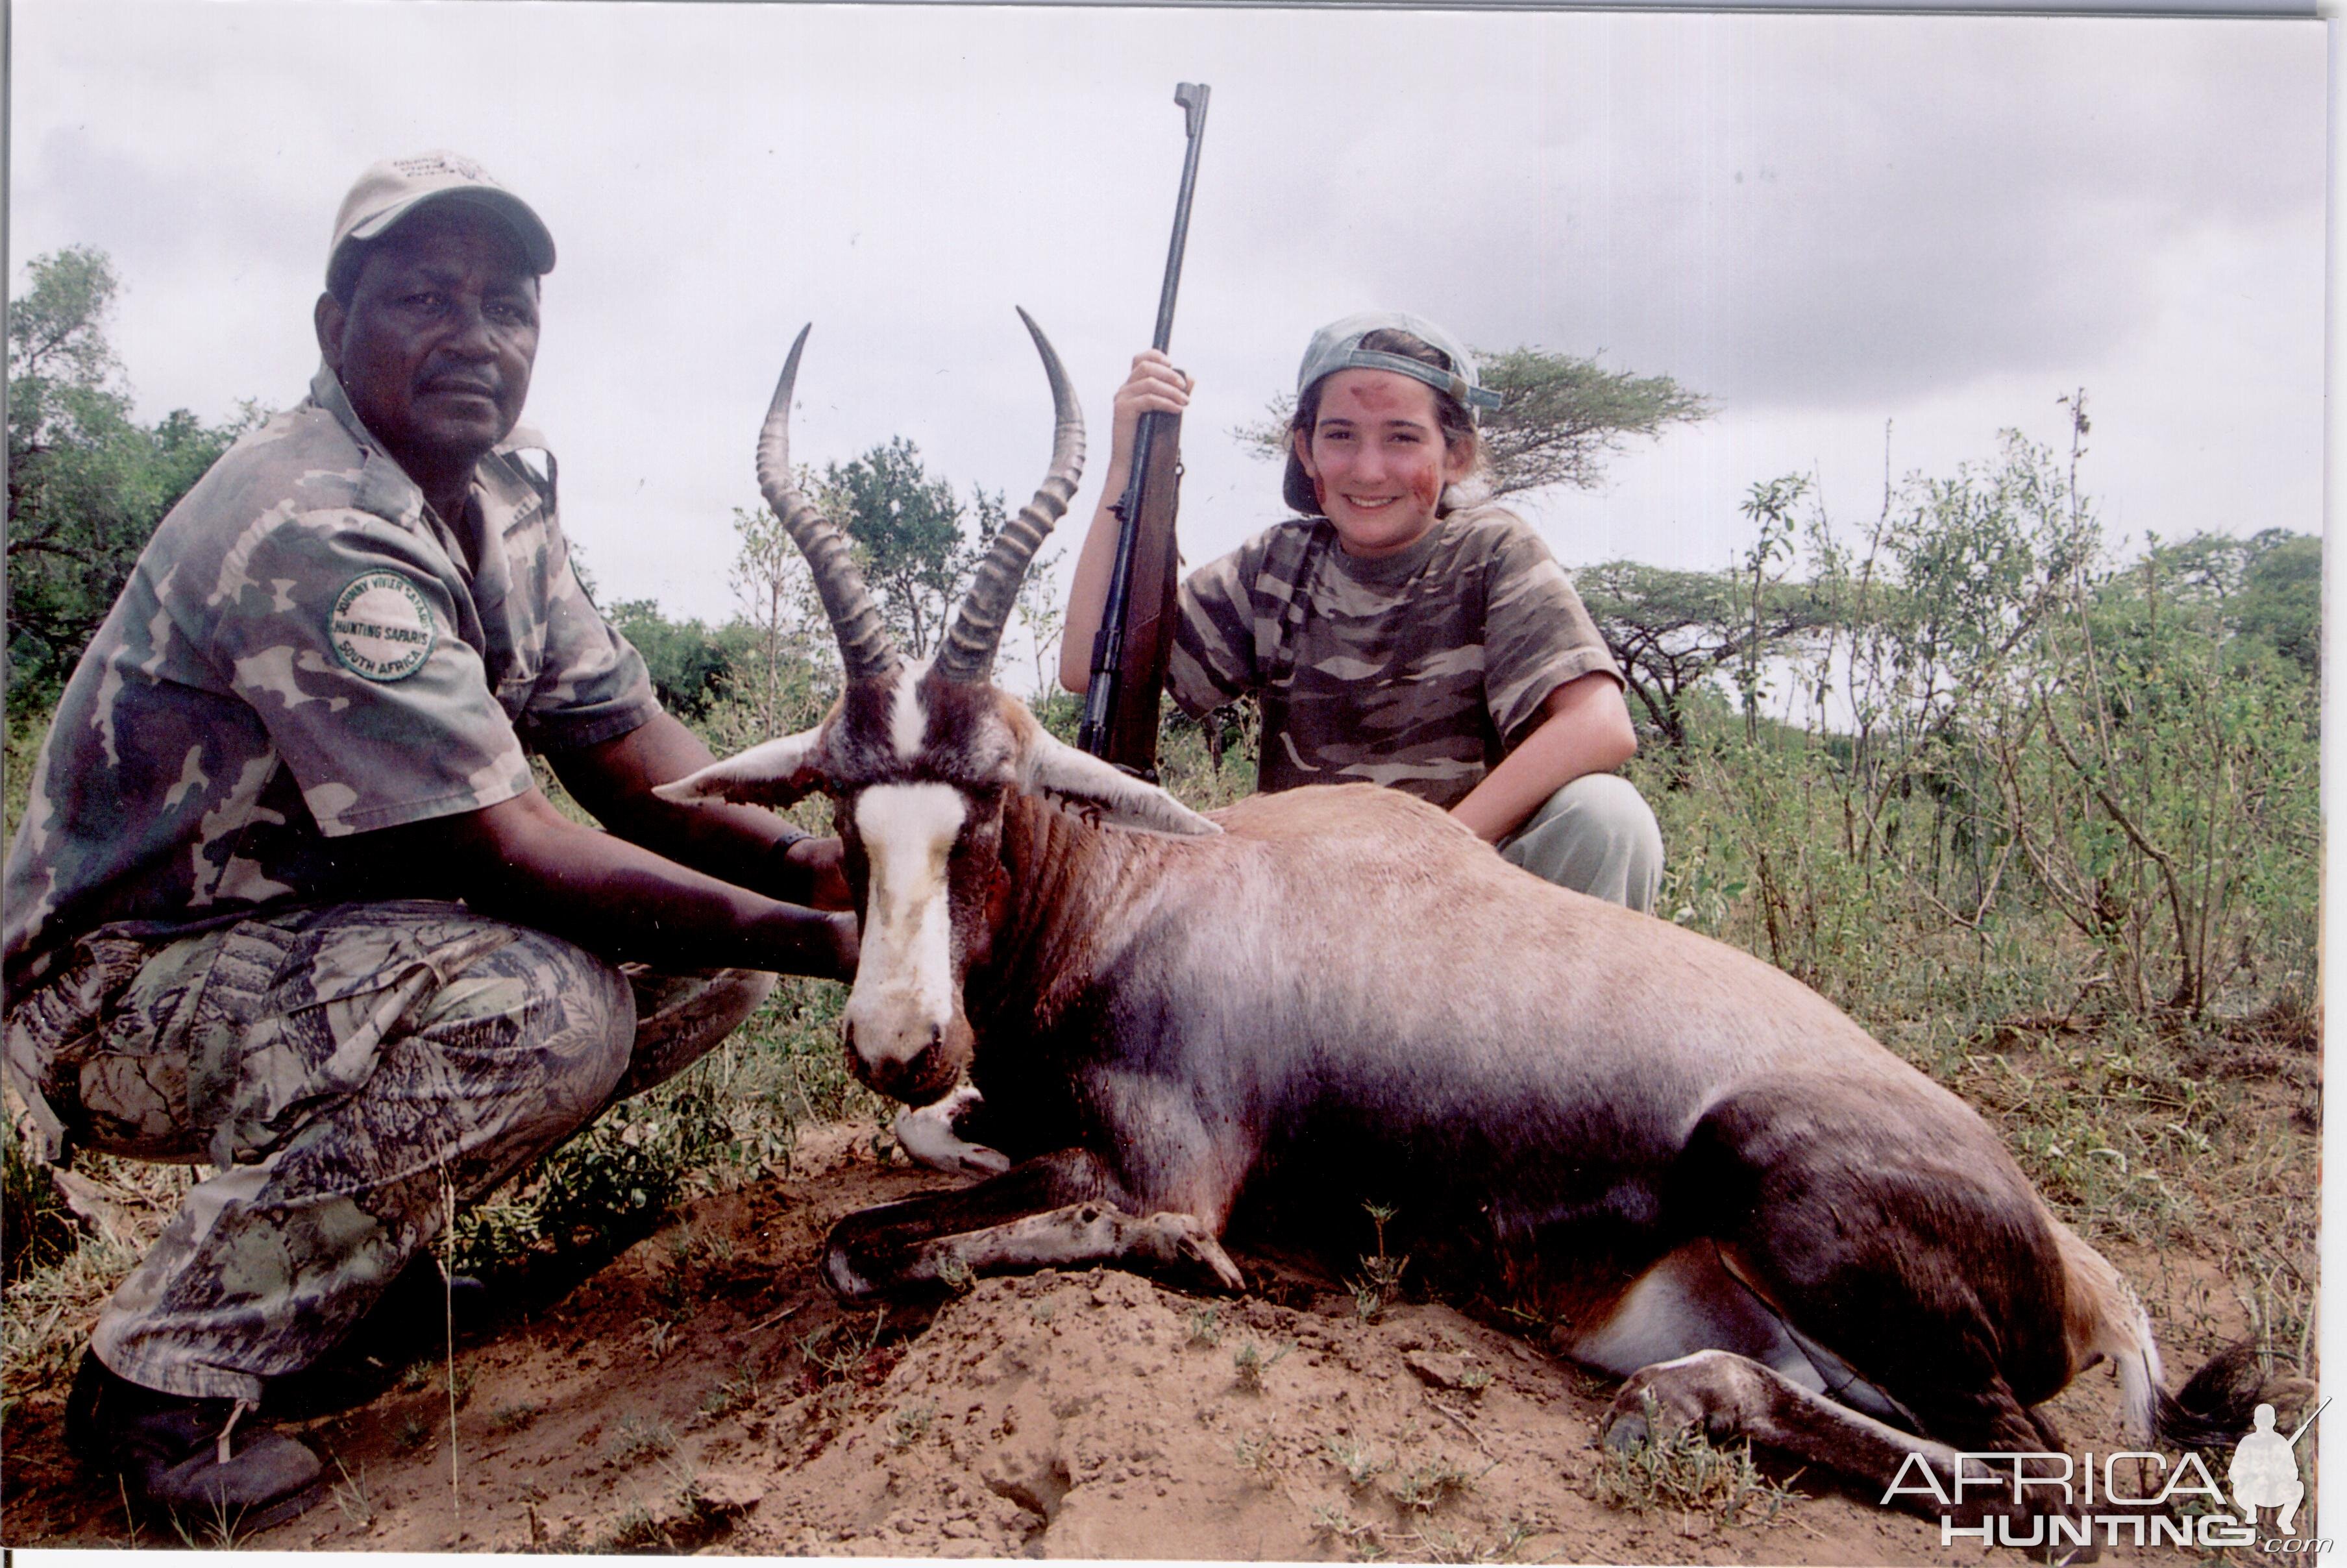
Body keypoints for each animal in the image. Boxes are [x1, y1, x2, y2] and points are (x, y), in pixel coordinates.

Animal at [671, 314, 2243, 1530]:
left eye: (990, 801)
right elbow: (910, 1172)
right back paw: (1687, 1398)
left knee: (2049, 1472)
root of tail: (2080, 1265)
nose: (901, 1041)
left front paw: (1195, 1262)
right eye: (837, 802)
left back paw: (1680, 1408)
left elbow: (916, 1237)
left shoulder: (1170, 1166)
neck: (1155, 884)